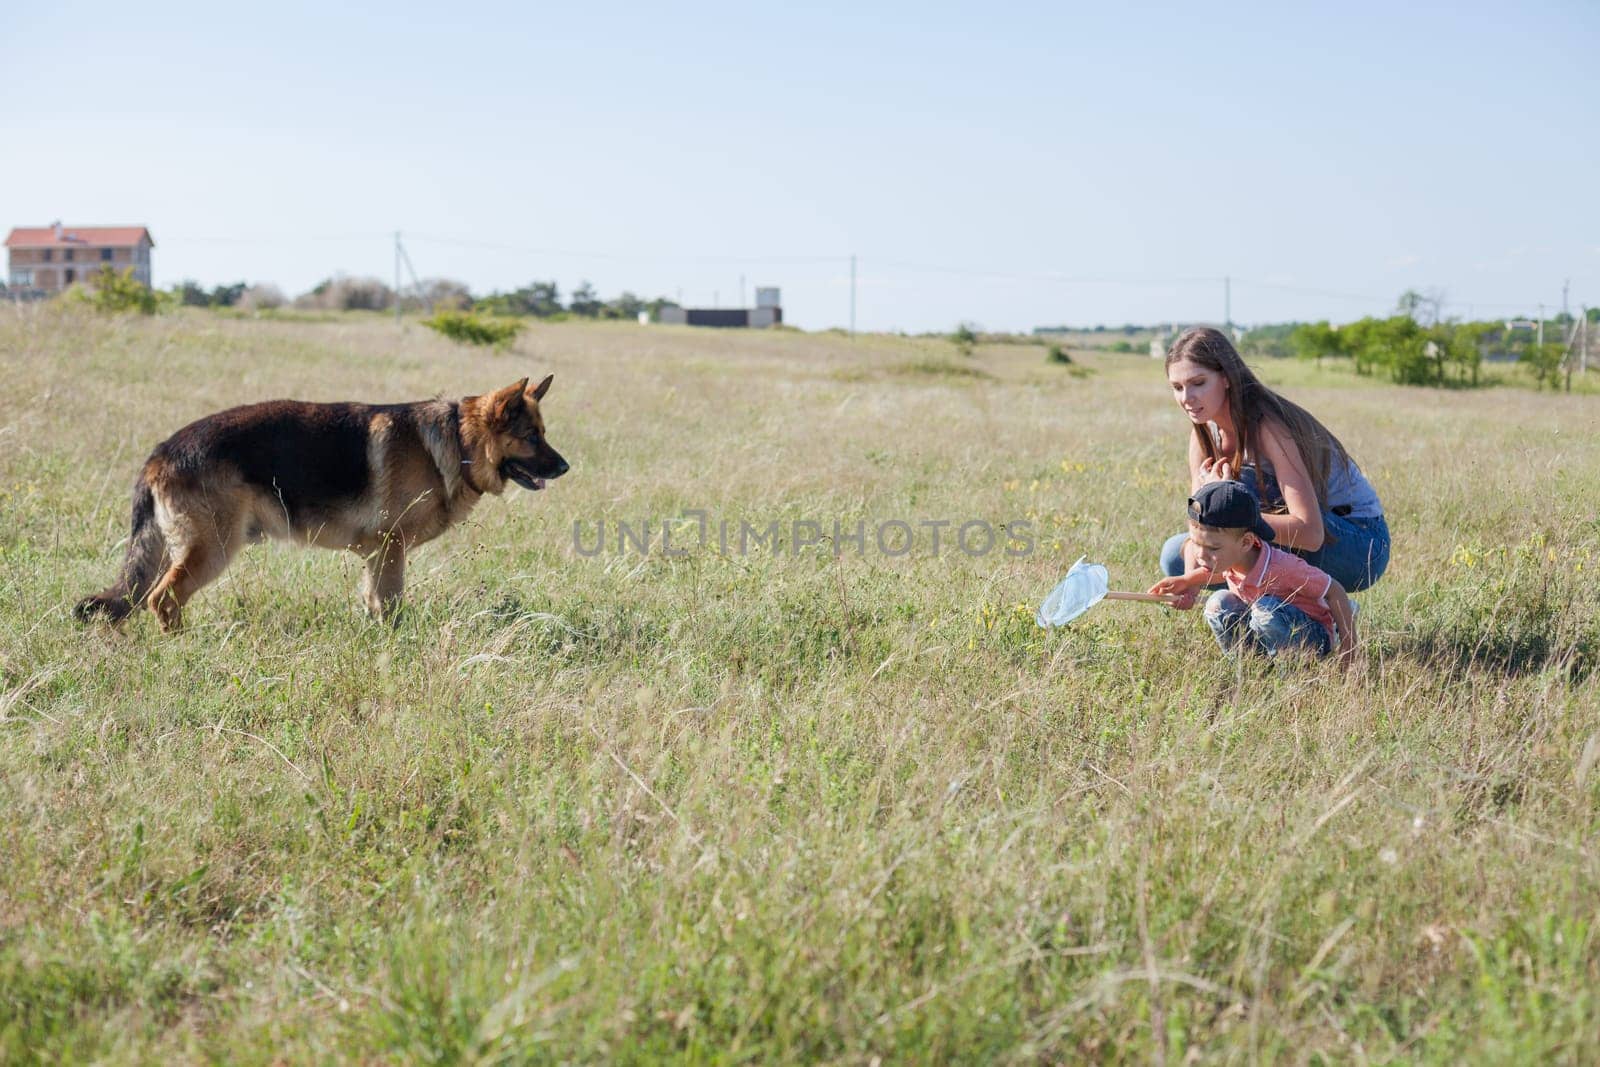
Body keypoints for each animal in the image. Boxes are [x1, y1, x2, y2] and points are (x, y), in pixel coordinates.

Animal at [79, 375, 576, 630]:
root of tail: (161, 450)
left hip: (187, 548)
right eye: (532, 437)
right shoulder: (391, 549)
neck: (458, 439)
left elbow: (375, 602)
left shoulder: (378, 555)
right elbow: (392, 605)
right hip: (213, 549)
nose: (566, 467)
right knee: (162, 599)